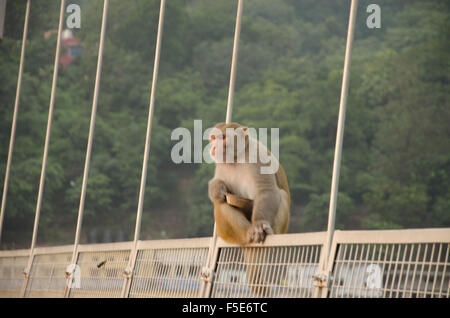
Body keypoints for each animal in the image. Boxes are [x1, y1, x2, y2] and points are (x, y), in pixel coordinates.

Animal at [208, 122, 292, 296]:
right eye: (213, 138)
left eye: (223, 137)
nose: (213, 146)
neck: (236, 158)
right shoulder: (220, 165)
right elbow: (219, 190)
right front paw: (217, 188)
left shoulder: (257, 157)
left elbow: (266, 191)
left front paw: (259, 224)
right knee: (222, 203)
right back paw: (247, 234)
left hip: (280, 229)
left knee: (280, 195)